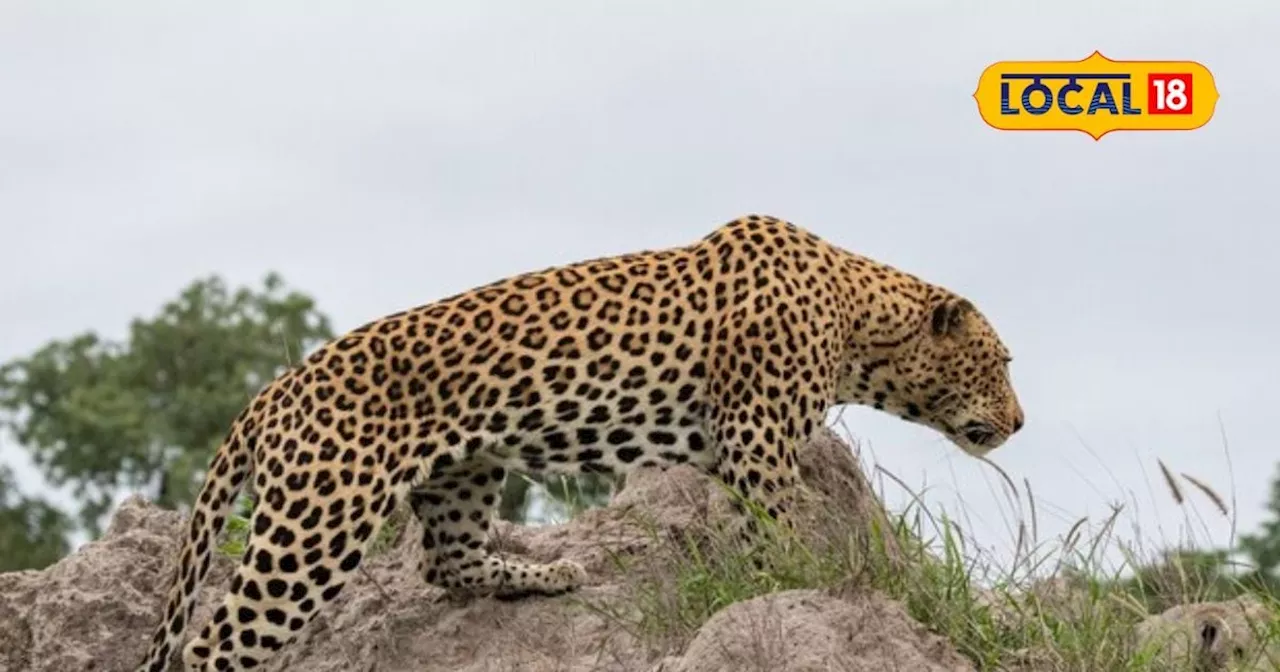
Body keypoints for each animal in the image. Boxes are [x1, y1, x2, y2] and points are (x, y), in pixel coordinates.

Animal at [135, 215, 1024, 670]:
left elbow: (752, 536)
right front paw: (813, 582)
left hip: (463, 472)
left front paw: (765, 586)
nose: (1019, 423)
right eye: (1003, 362)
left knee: (446, 562)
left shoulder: (743, 449)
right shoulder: (758, 439)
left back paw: (551, 572)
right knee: (216, 641)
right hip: (318, 520)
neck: (857, 318)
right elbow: (784, 525)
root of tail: (271, 390)